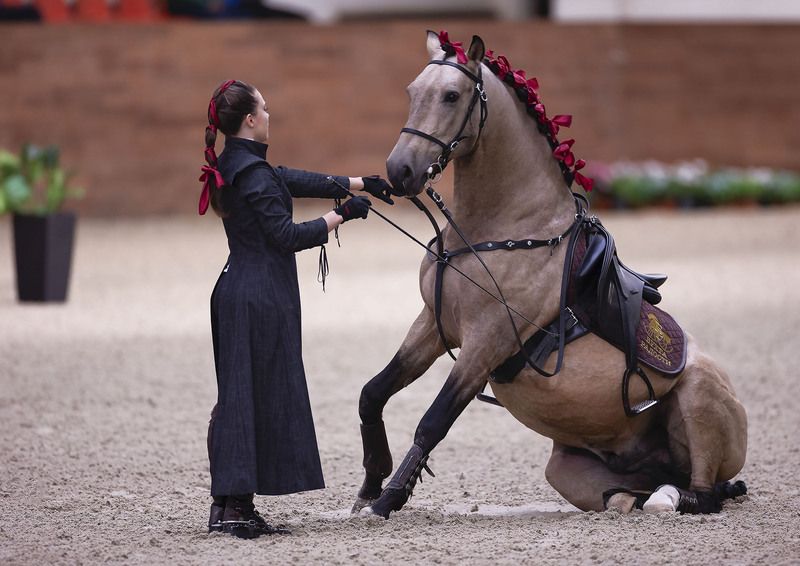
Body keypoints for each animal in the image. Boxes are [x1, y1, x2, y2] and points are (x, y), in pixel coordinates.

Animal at [352, 31, 747, 518]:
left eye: (451, 95)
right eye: (412, 92)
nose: (399, 171)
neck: (499, 232)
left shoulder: (486, 343)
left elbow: (433, 421)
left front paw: (388, 499)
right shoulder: (434, 325)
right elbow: (373, 392)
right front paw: (371, 484)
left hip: (698, 397)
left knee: (704, 494)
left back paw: (672, 497)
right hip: (568, 471)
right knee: (629, 495)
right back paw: (645, 493)